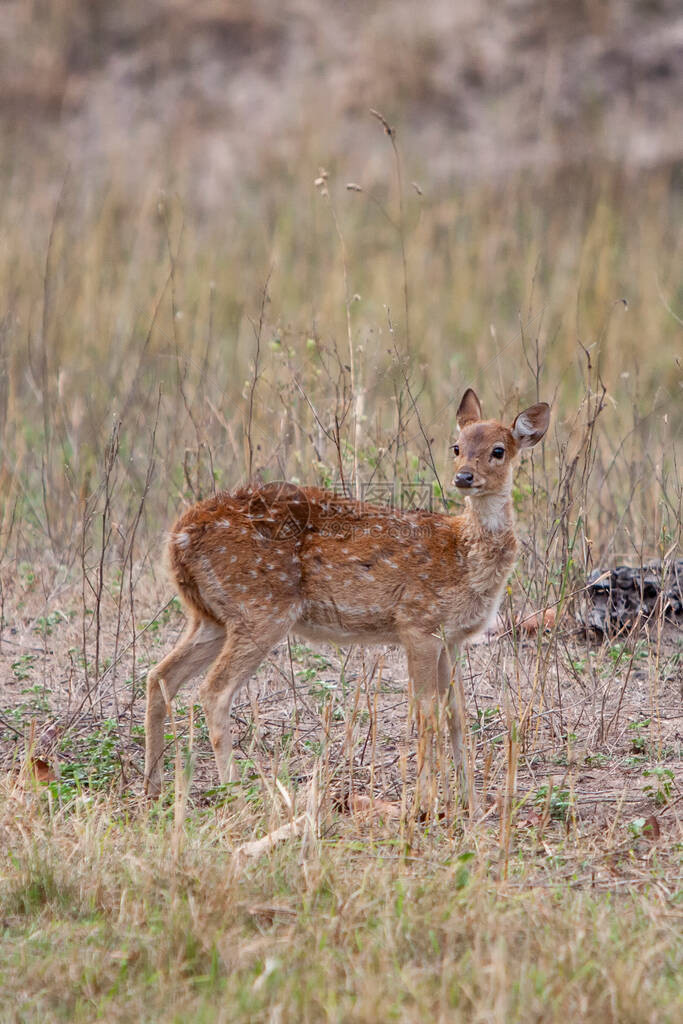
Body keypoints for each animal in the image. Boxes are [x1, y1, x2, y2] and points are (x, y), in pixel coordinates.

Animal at [144, 387, 548, 802]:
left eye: (498, 450)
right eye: (457, 446)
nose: (464, 477)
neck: (463, 556)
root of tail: (178, 539)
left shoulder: (450, 638)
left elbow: (457, 716)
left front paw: (468, 802)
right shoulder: (417, 623)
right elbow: (426, 714)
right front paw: (426, 802)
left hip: (212, 616)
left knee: (159, 677)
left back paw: (153, 785)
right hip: (261, 608)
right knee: (213, 692)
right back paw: (234, 791)